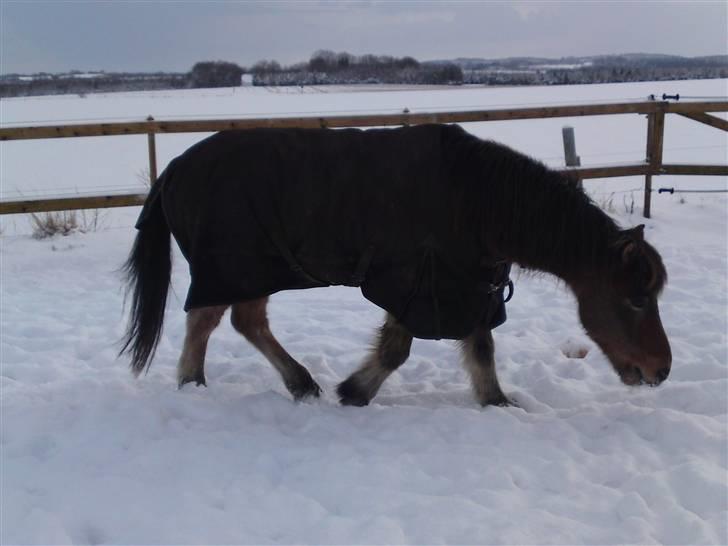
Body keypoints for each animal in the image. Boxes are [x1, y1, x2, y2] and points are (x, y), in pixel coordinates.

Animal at [119, 123, 672, 404]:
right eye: (636, 298)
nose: (660, 370)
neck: (475, 199)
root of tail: (173, 170)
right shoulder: (418, 283)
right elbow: (395, 350)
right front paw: (355, 391)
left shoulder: (467, 282)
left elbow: (481, 348)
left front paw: (495, 400)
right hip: (234, 267)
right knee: (206, 320)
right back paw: (194, 385)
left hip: (258, 268)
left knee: (245, 321)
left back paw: (299, 383)